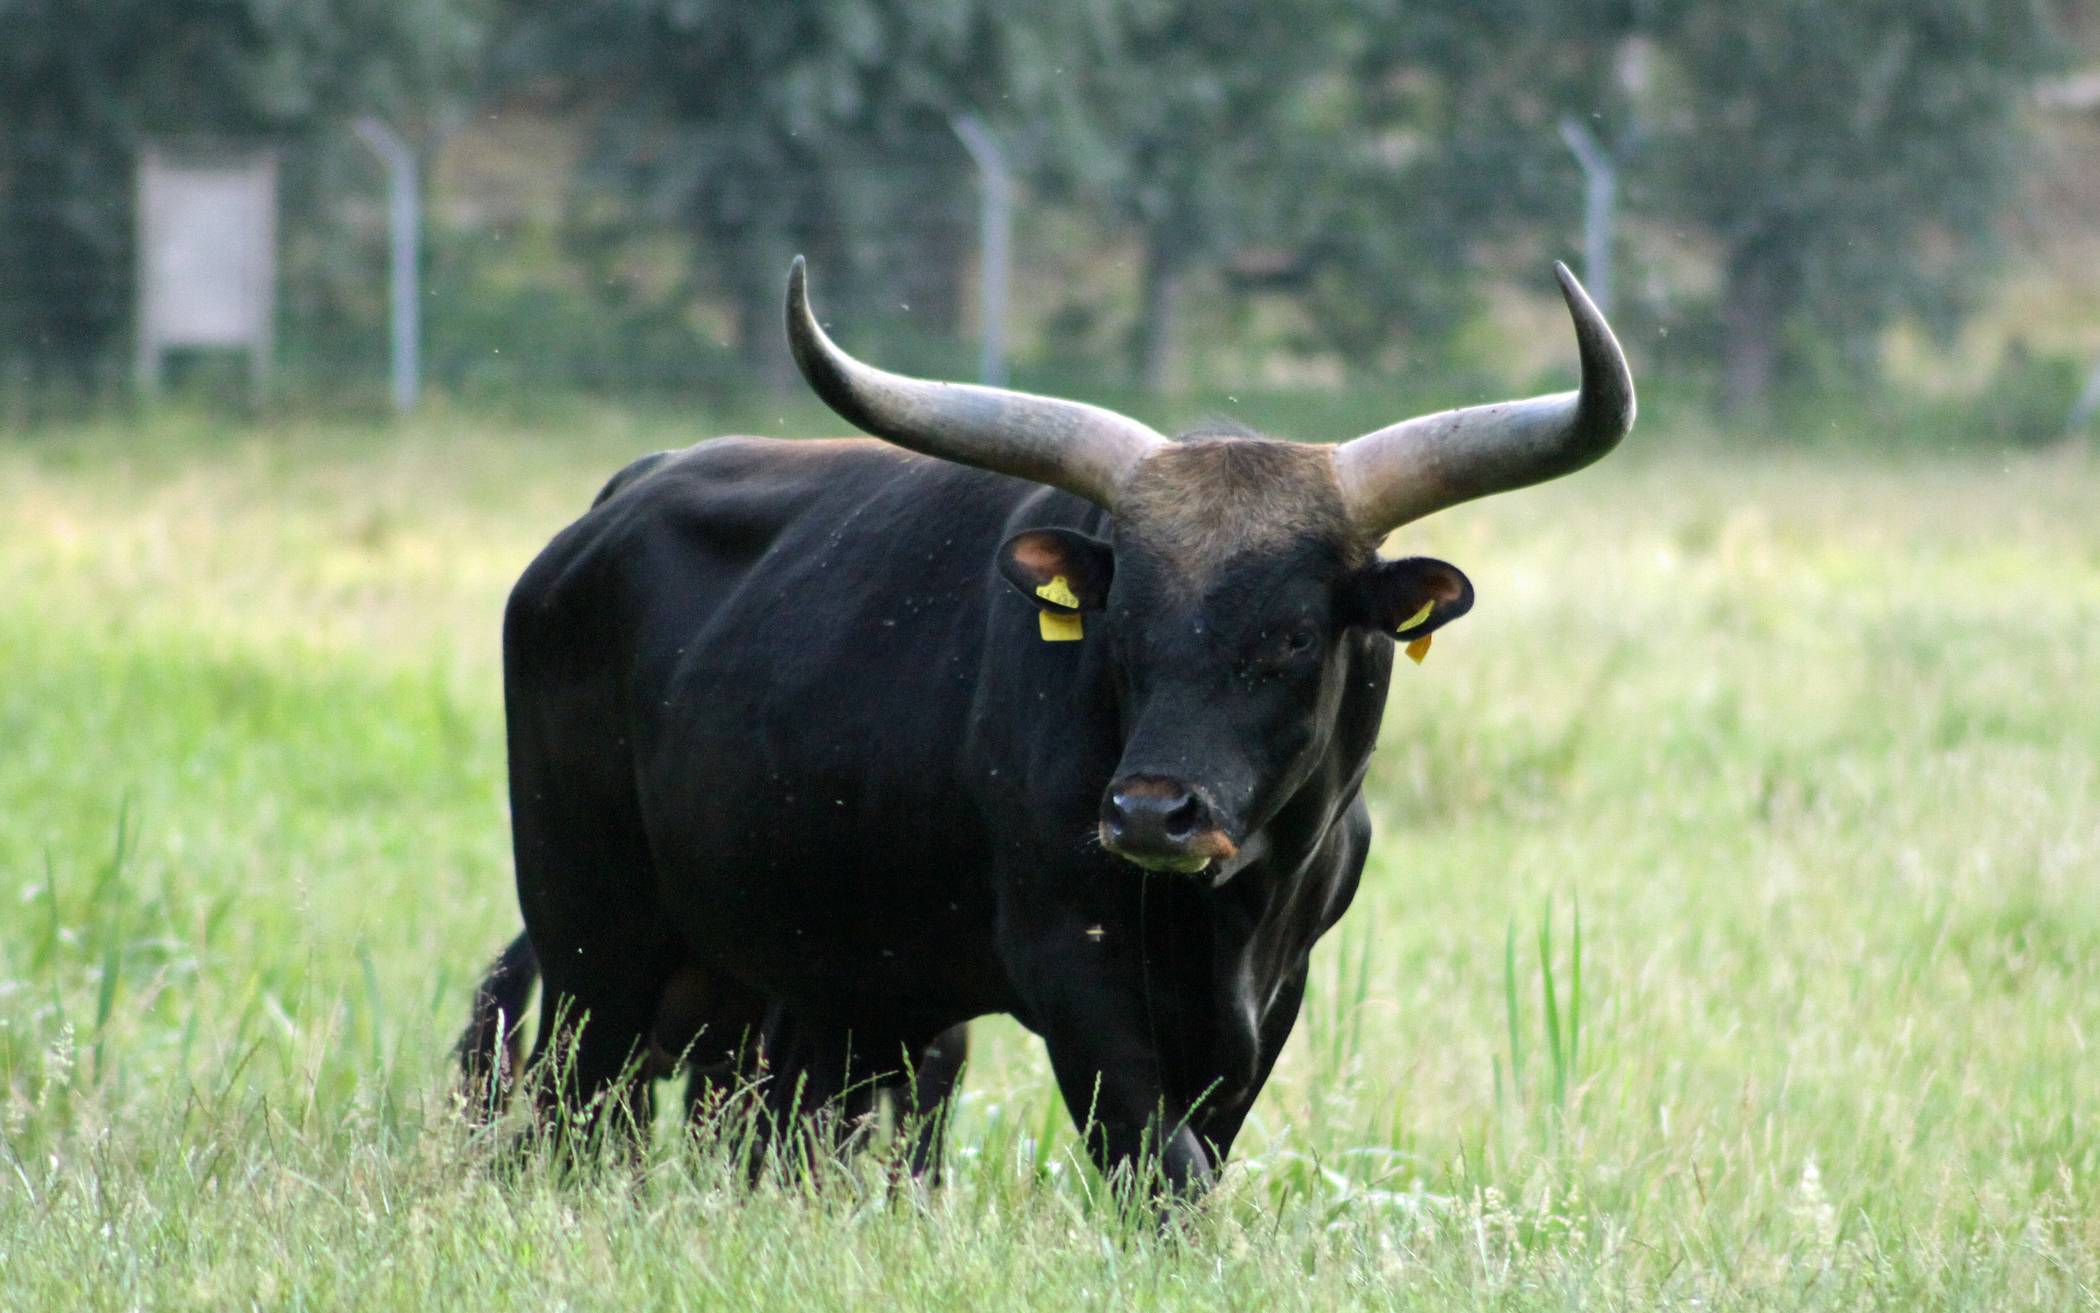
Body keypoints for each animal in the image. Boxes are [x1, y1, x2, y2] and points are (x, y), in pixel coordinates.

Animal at [464, 258, 1637, 1201]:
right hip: (594, 942)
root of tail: (608, 507)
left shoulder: (1272, 993)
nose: (1152, 814)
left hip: (809, 980)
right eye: (1125, 616)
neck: (1235, 904)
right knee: (574, 1115)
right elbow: (1160, 1168)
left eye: (1296, 633)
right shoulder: (1074, 969)